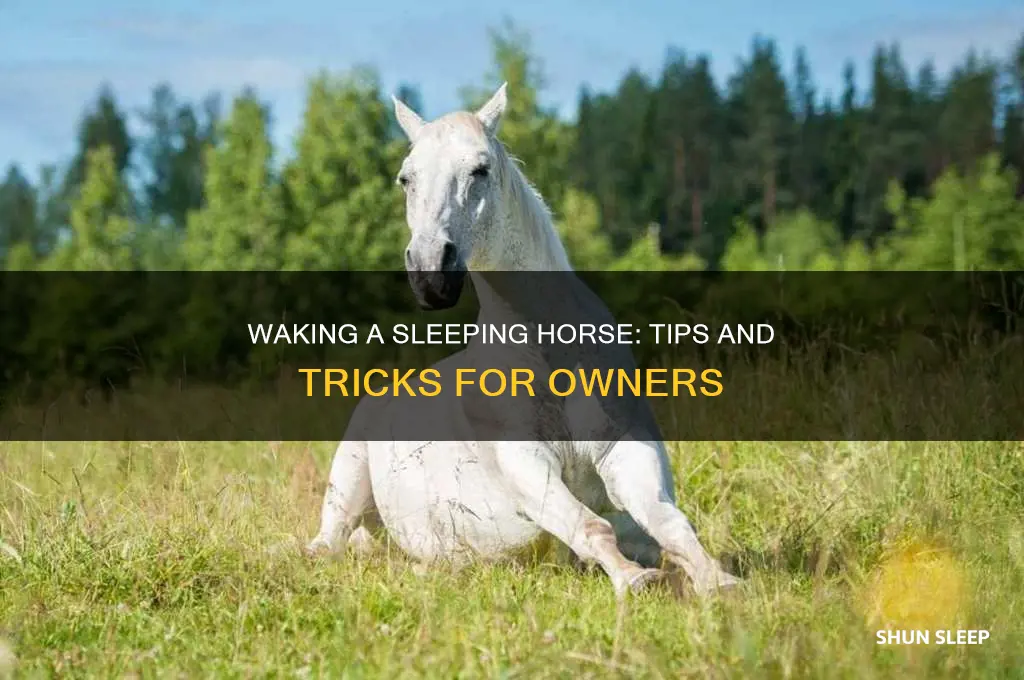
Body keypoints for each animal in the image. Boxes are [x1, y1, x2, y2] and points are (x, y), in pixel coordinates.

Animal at [306, 83, 742, 599]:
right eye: (405, 178)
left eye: (480, 169)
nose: (431, 272)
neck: (549, 351)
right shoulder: (527, 466)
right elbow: (591, 527)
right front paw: (635, 579)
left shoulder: (626, 450)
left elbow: (668, 524)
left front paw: (720, 581)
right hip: (347, 479)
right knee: (329, 543)